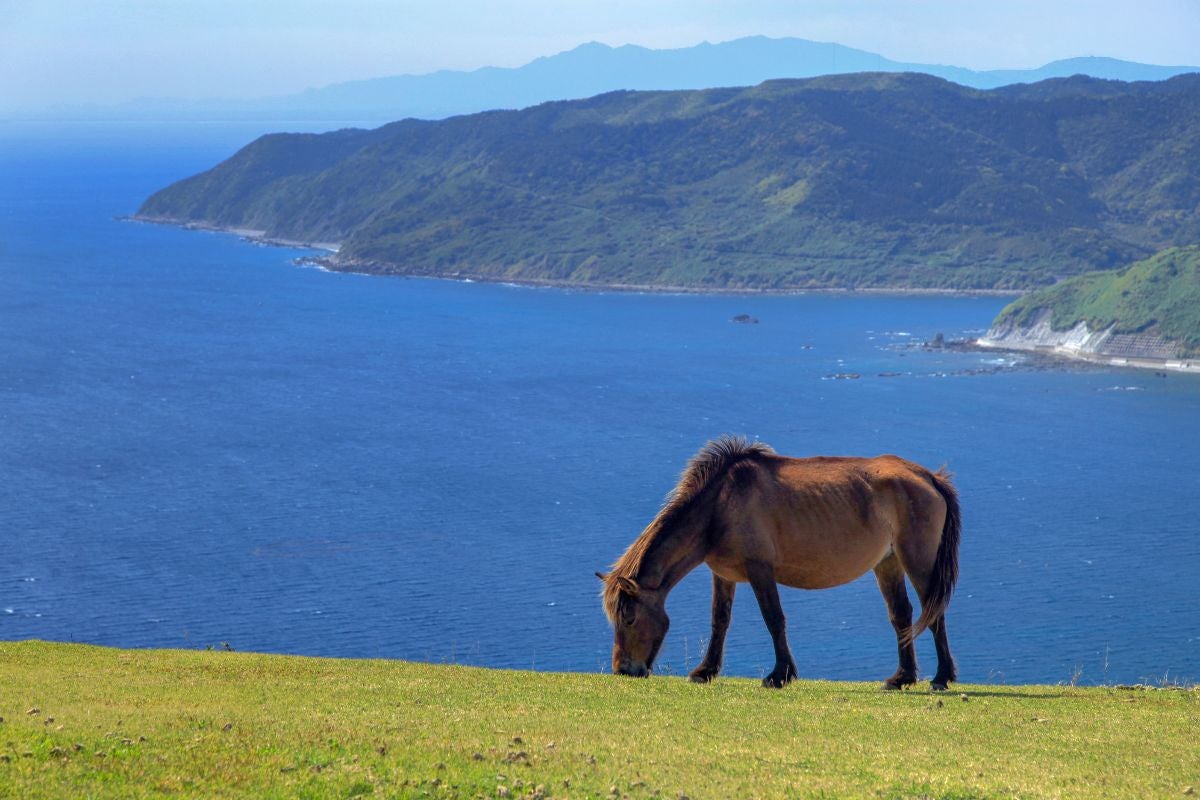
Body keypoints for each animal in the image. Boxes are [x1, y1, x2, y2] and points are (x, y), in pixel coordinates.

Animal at [597, 435, 960, 690]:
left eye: (629, 617)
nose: (623, 670)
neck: (720, 505)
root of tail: (929, 477)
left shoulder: (760, 569)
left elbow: (773, 618)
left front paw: (779, 675)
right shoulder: (722, 574)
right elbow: (719, 620)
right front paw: (705, 671)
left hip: (917, 558)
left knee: (933, 611)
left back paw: (941, 678)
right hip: (888, 562)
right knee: (902, 614)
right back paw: (901, 678)